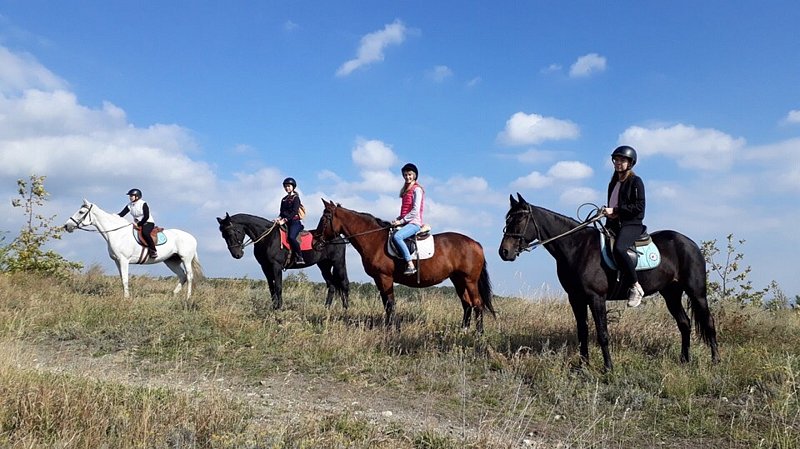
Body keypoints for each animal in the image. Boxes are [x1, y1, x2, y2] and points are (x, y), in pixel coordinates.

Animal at [63, 200, 202, 298]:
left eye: (81, 212)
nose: (66, 226)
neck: (118, 233)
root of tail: (192, 237)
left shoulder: (124, 260)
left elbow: (125, 279)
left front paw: (126, 298)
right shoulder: (117, 261)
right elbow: (122, 279)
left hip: (185, 259)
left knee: (189, 276)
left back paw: (188, 297)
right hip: (171, 261)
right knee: (182, 276)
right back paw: (174, 294)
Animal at [216, 213, 350, 310]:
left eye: (233, 232)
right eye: (223, 235)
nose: (237, 254)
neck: (268, 238)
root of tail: (339, 238)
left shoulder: (276, 266)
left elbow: (278, 286)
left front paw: (279, 308)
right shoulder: (265, 267)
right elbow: (271, 288)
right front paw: (274, 307)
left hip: (338, 264)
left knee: (344, 283)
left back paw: (345, 308)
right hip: (324, 266)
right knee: (331, 285)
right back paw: (326, 308)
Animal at [318, 200, 494, 332]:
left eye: (325, 218)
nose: (316, 242)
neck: (375, 239)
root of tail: (475, 244)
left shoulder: (385, 278)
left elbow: (390, 303)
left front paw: (393, 329)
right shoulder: (379, 280)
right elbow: (386, 303)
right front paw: (389, 327)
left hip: (469, 281)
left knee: (477, 304)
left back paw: (479, 333)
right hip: (458, 280)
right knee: (467, 304)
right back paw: (463, 330)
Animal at [500, 193, 720, 372]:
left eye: (520, 219)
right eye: (507, 219)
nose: (504, 252)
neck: (576, 247)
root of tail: (690, 243)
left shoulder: (596, 298)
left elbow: (602, 333)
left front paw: (608, 368)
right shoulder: (576, 298)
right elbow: (582, 332)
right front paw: (583, 366)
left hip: (696, 292)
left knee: (708, 322)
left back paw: (715, 361)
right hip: (671, 294)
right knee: (684, 324)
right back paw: (684, 360)